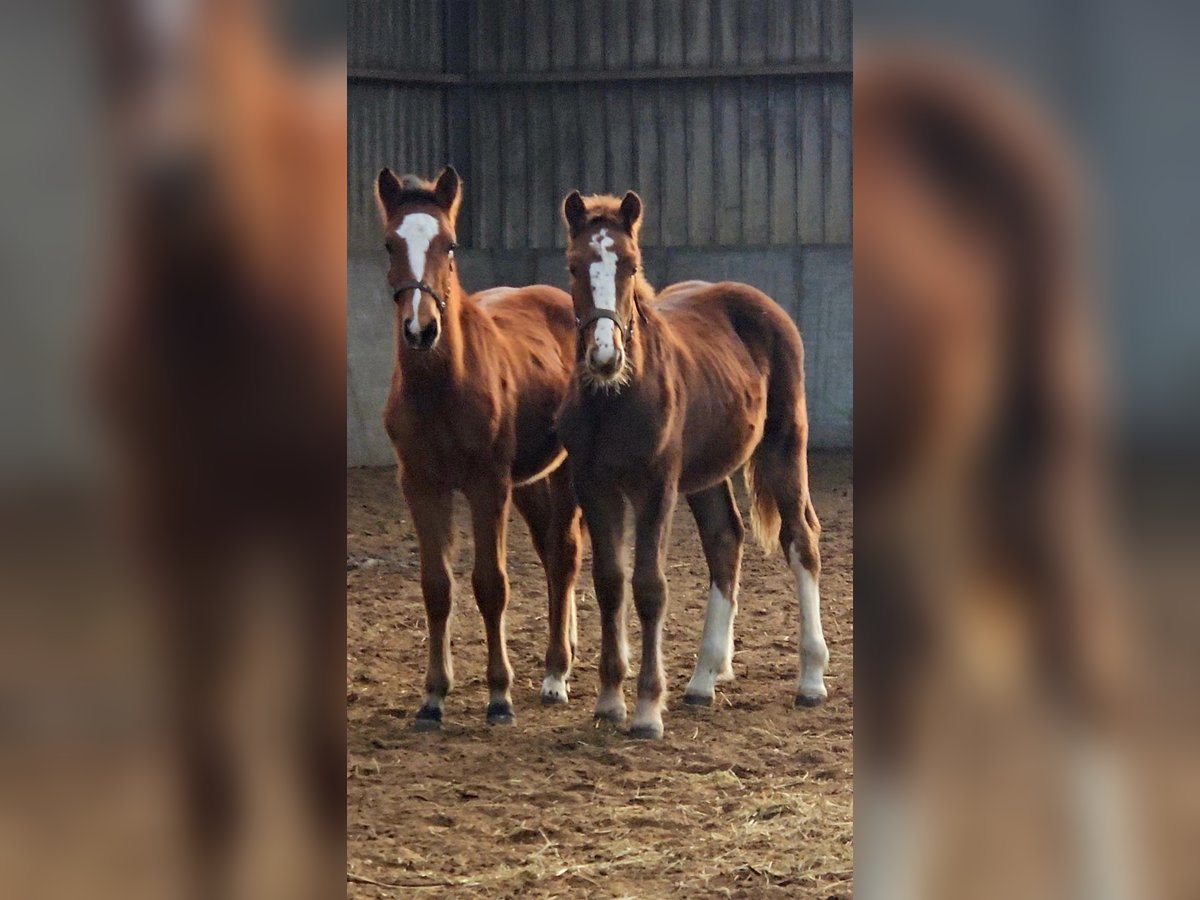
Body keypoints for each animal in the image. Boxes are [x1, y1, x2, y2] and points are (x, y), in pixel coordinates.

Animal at [374, 168, 580, 734]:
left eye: (450, 244)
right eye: (389, 243)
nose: (421, 329)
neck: (441, 386)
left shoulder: (487, 484)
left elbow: (491, 585)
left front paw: (499, 697)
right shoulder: (420, 485)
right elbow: (436, 587)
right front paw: (432, 697)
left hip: (563, 473)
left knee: (565, 555)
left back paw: (556, 673)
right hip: (528, 483)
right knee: (550, 554)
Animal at [556, 190, 830, 739]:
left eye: (631, 264)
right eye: (574, 265)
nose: (604, 356)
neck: (615, 397)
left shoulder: (656, 487)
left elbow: (649, 586)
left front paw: (646, 710)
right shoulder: (595, 486)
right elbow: (610, 582)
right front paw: (609, 700)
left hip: (784, 447)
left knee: (802, 538)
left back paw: (811, 679)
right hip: (708, 473)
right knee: (726, 539)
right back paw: (703, 680)